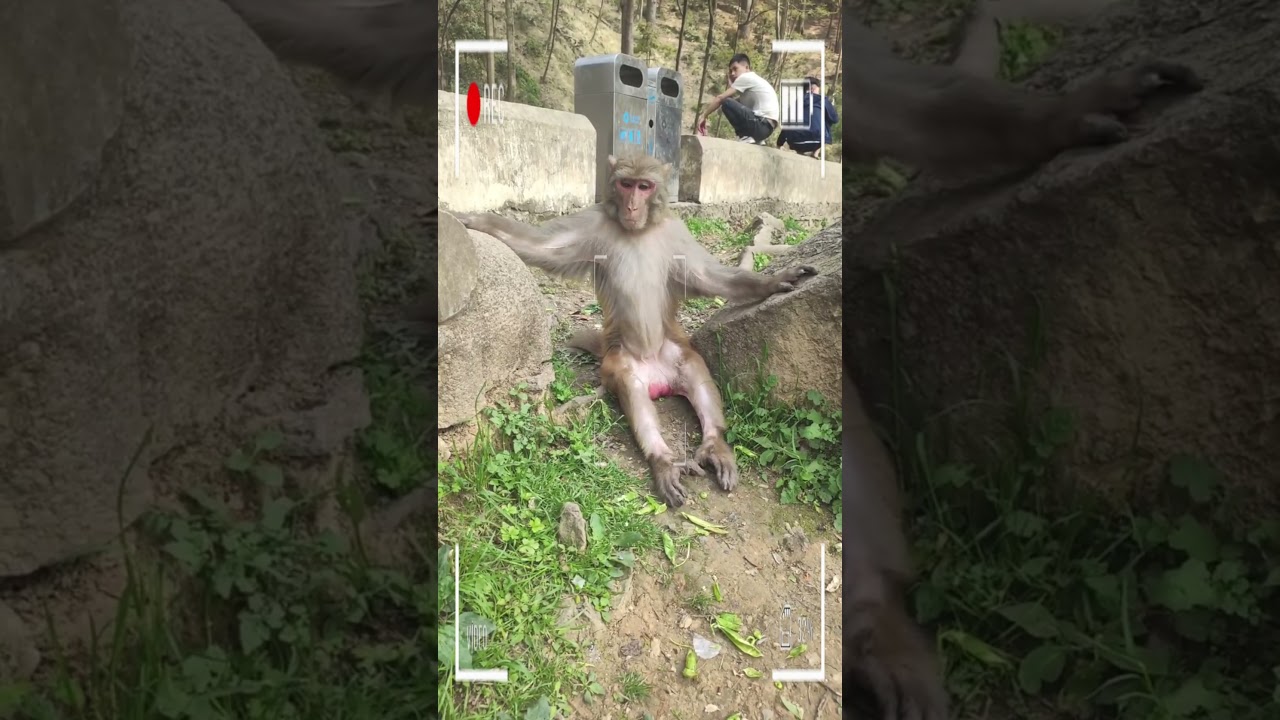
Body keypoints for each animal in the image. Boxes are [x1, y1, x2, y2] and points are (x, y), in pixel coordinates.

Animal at [452, 154, 818, 508]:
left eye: (645, 186)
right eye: (626, 184)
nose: (631, 206)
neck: (638, 232)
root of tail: (661, 382)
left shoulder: (677, 231)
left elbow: (709, 277)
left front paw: (774, 282)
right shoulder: (591, 223)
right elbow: (540, 246)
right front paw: (474, 221)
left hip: (674, 351)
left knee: (695, 370)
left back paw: (714, 444)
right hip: (621, 360)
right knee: (633, 388)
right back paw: (663, 460)